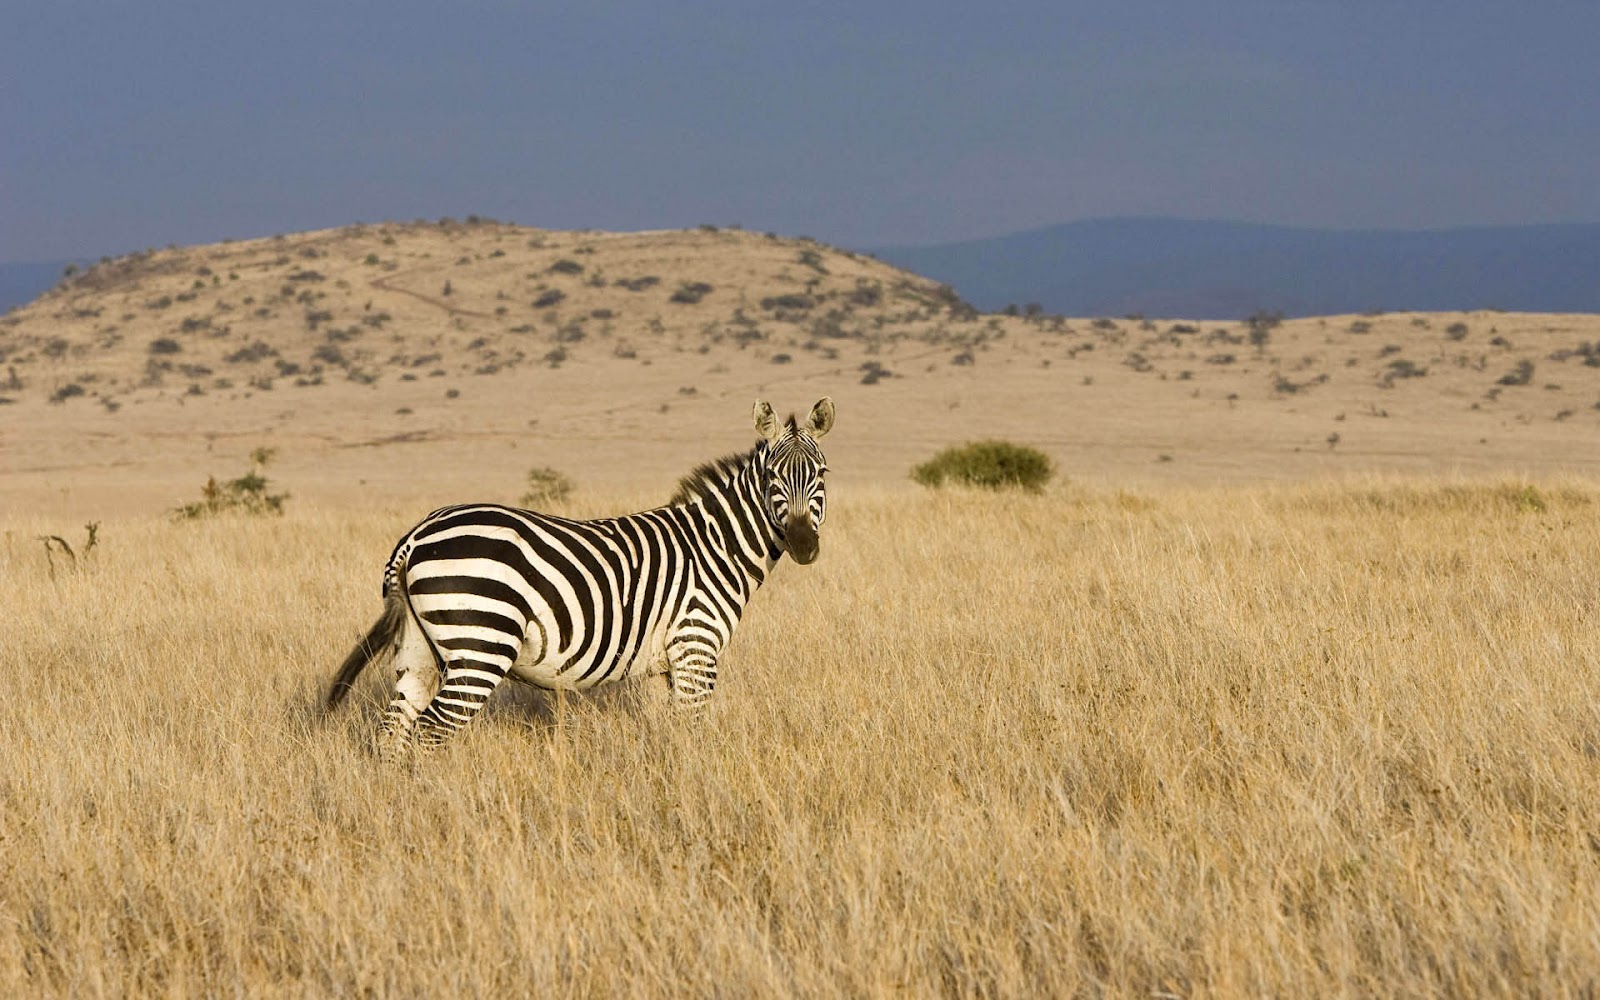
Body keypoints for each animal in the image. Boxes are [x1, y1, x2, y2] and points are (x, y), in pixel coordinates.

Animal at [325, 397, 834, 759]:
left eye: (822, 474)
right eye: (771, 477)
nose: (803, 545)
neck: (713, 546)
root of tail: (415, 536)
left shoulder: (661, 665)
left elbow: (667, 733)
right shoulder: (696, 648)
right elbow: (693, 733)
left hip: (418, 649)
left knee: (394, 729)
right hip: (480, 643)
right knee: (432, 730)